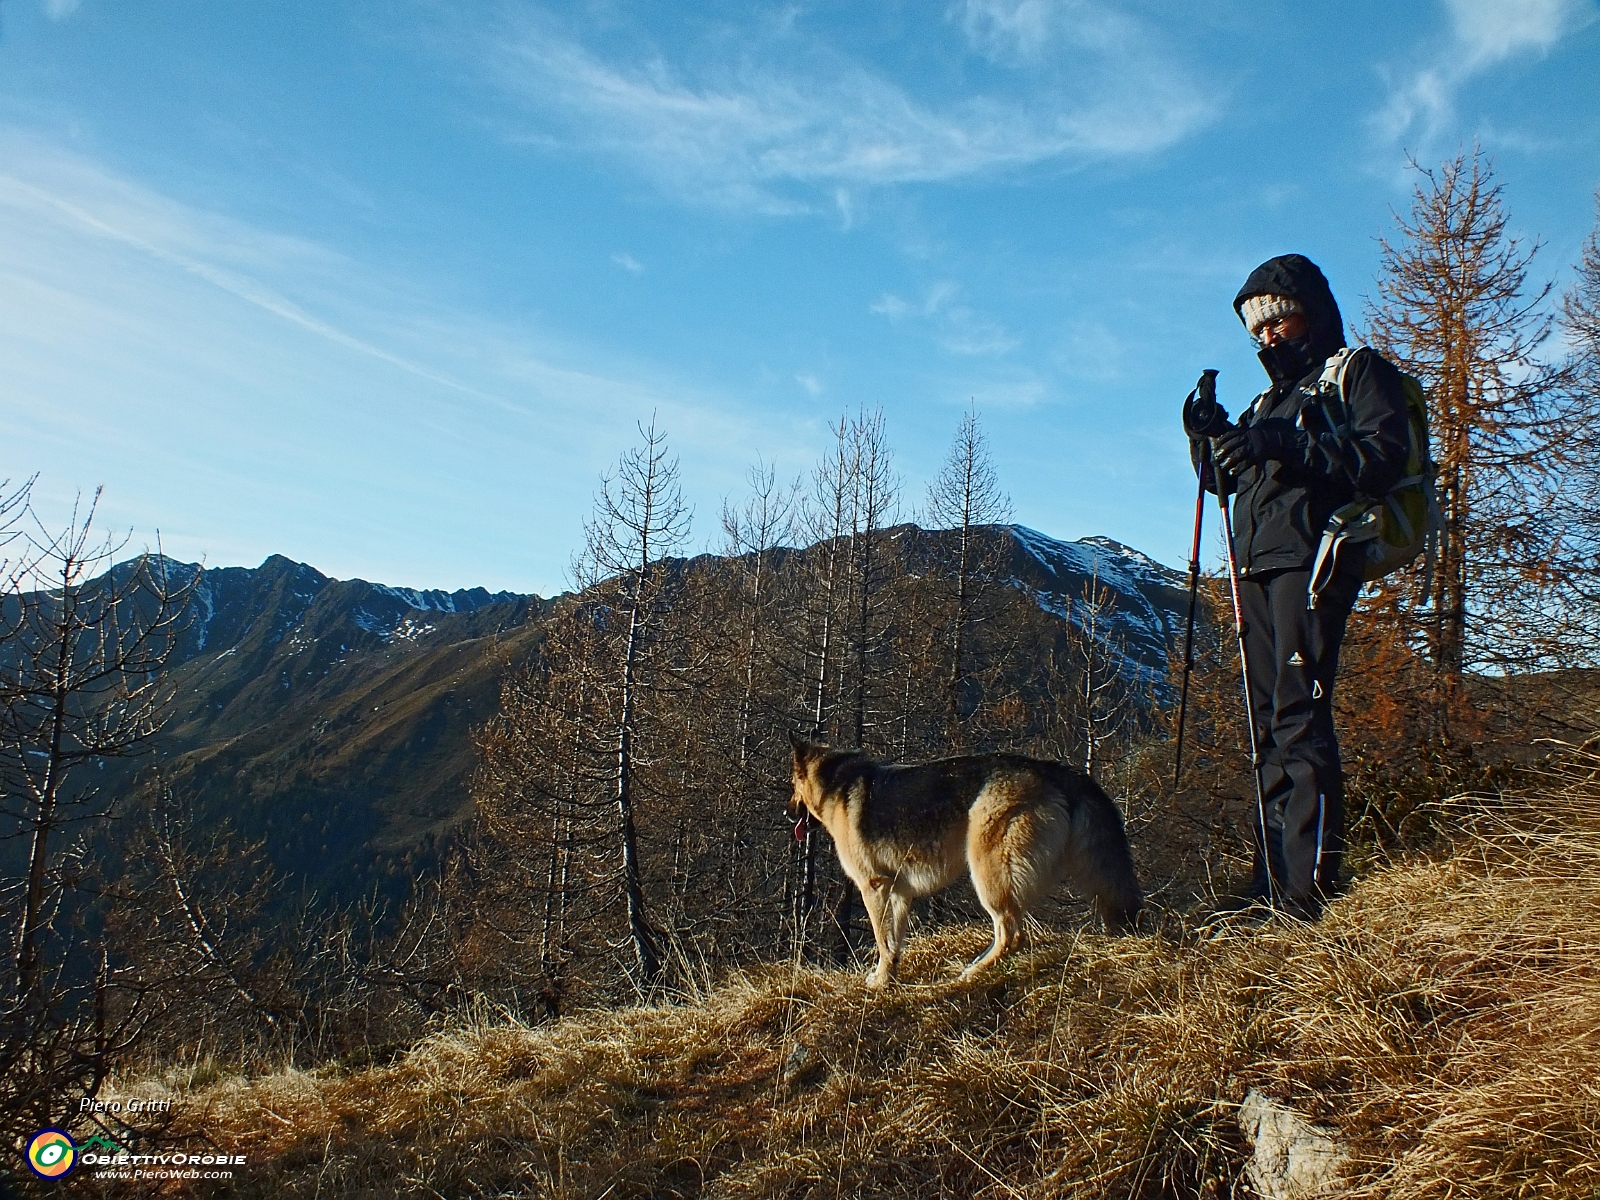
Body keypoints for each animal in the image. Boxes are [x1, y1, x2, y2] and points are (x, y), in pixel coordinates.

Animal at [784, 739, 1139, 992]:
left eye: (792, 785)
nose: (787, 813)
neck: (835, 786)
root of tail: (1052, 769)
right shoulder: (899, 893)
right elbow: (895, 943)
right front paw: (891, 977)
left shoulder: (874, 887)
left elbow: (882, 941)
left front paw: (880, 981)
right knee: (1010, 932)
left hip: (987, 875)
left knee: (1012, 934)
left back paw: (972, 972)